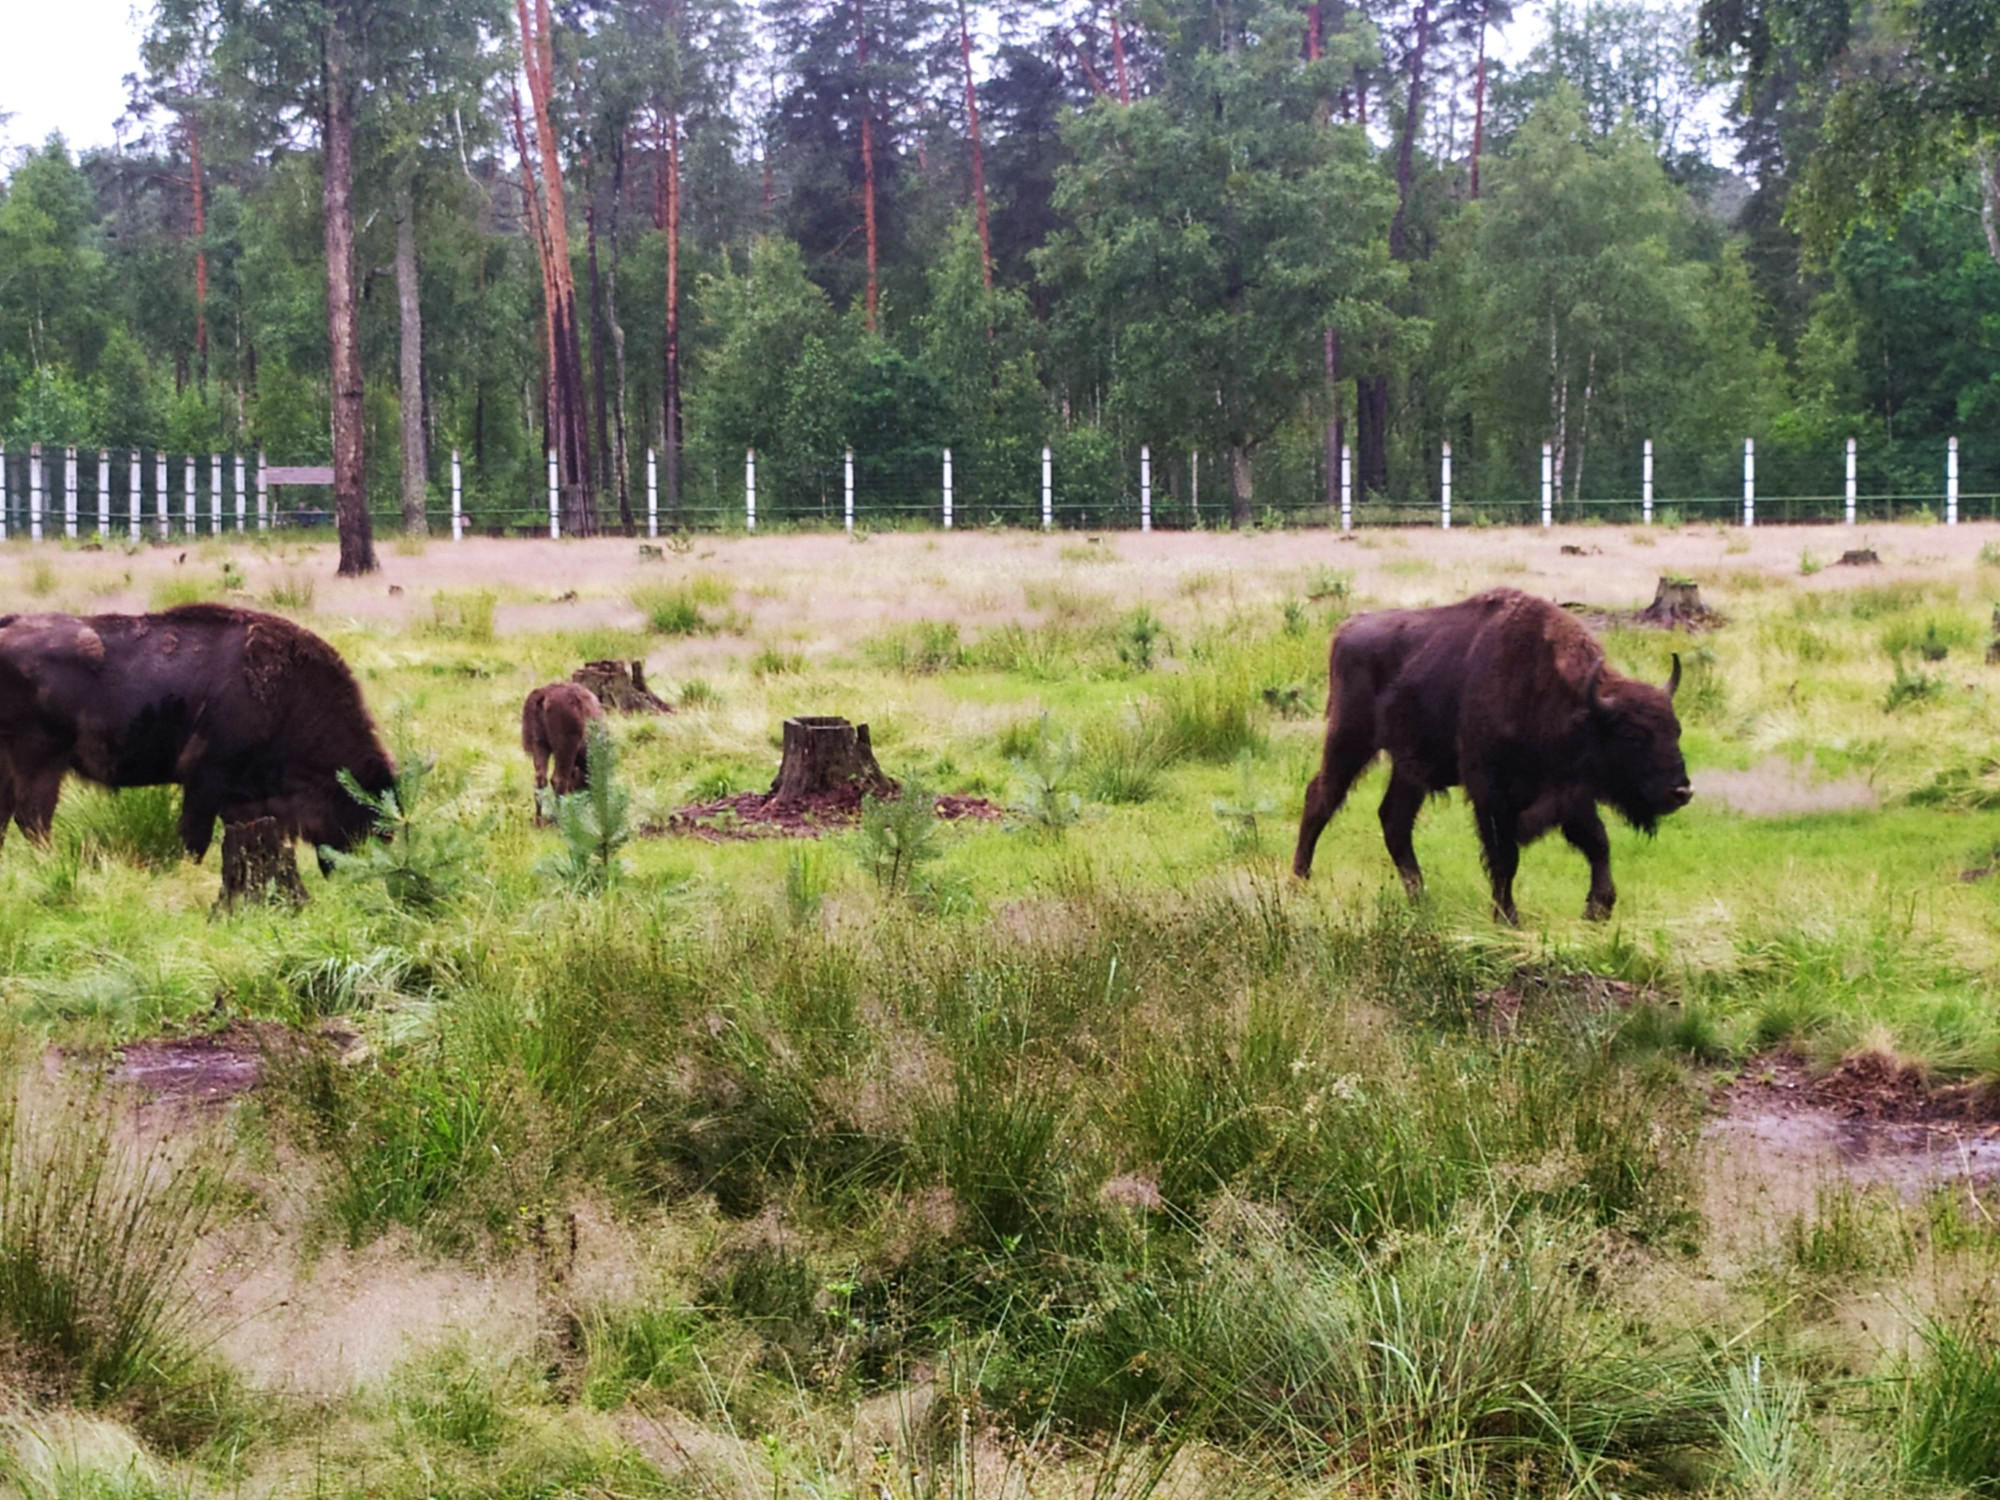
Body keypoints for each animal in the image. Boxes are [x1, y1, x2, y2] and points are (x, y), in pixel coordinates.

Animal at [0, 604, 394, 876]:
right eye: (366, 814)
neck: (287, 696)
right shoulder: (207, 778)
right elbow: (195, 837)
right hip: (41, 760)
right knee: (33, 818)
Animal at [520, 684, 604, 824]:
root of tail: (544, 693)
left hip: (540, 745)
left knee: (540, 780)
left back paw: (538, 820)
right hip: (565, 749)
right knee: (558, 780)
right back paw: (559, 819)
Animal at [1288, 592, 1696, 928]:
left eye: (1676, 730)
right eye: (1632, 736)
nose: (1681, 791)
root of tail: (1345, 630)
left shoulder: (1570, 793)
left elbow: (1597, 842)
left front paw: (1598, 909)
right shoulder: (1490, 791)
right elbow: (1505, 857)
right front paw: (1508, 918)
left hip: (1409, 768)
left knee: (1394, 820)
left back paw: (1421, 901)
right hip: (1349, 742)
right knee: (1320, 799)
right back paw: (1299, 882)